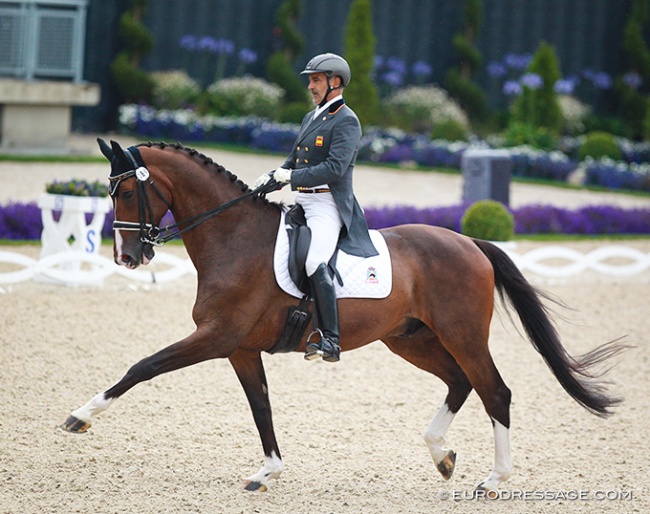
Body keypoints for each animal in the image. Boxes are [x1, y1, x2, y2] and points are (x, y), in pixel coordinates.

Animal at [60, 139, 628, 492]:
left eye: (126, 190)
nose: (127, 258)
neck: (233, 238)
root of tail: (469, 242)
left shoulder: (215, 337)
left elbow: (143, 366)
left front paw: (80, 417)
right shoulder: (239, 348)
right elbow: (261, 407)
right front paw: (268, 472)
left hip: (462, 333)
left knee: (495, 391)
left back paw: (492, 481)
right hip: (410, 339)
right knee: (459, 382)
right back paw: (441, 455)